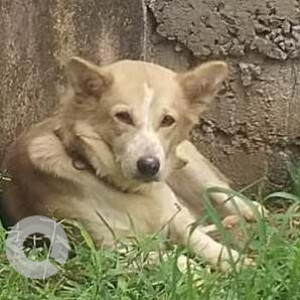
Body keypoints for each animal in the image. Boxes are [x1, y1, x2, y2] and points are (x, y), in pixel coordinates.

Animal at [1, 56, 264, 270]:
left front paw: (236, 263)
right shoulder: (110, 250)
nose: (149, 165)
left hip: (191, 167)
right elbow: (175, 259)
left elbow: (202, 242)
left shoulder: (176, 220)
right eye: (123, 117)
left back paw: (250, 212)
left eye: (167, 120)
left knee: (223, 194)